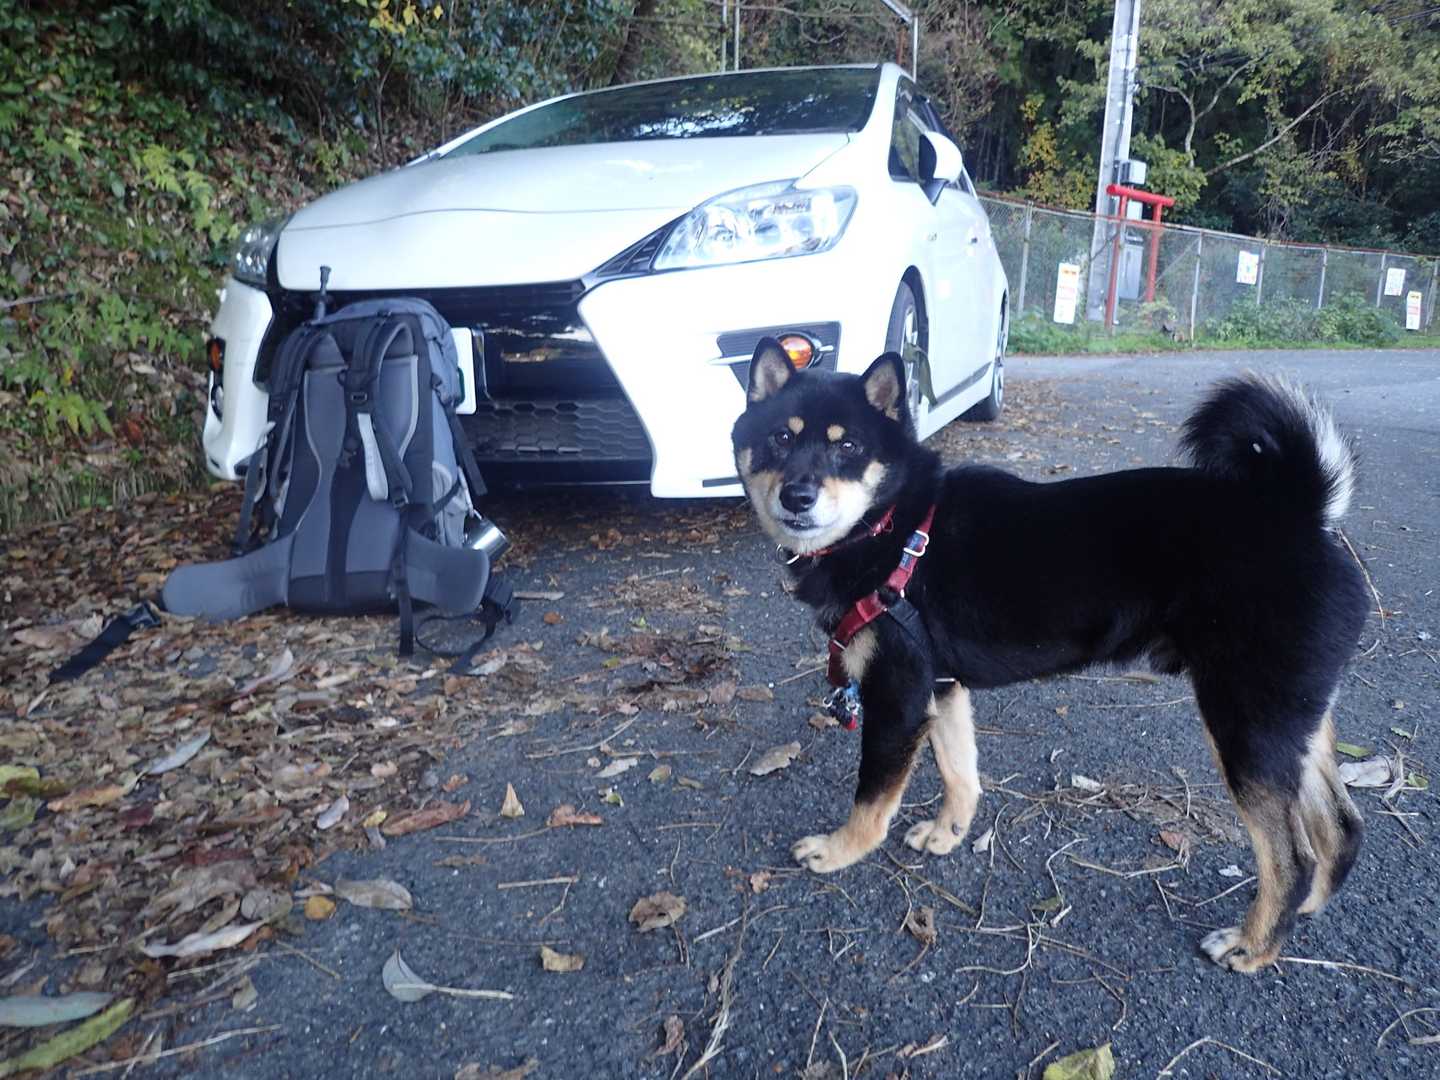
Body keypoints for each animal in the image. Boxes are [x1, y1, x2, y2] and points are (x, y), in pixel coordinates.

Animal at [731, 339, 1369, 972]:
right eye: (781, 438)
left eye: (849, 447)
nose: (797, 495)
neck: (894, 529)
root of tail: (1303, 514)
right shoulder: (942, 687)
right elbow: (960, 773)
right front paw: (948, 834)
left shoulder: (898, 696)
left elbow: (872, 797)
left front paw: (839, 850)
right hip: (1289, 720)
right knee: (1340, 829)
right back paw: (1302, 913)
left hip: (1244, 725)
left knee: (1292, 856)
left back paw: (1253, 946)